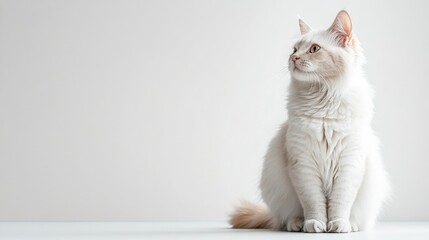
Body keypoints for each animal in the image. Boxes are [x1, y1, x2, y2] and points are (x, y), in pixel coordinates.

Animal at [229, 10, 390, 232]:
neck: (323, 104)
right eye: (295, 49)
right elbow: (313, 202)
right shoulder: (303, 163)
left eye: (314, 49)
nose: (293, 57)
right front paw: (315, 224)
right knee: (286, 218)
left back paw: (351, 225)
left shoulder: (349, 163)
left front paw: (338, 225)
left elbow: (340, 202)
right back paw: (297, 224)